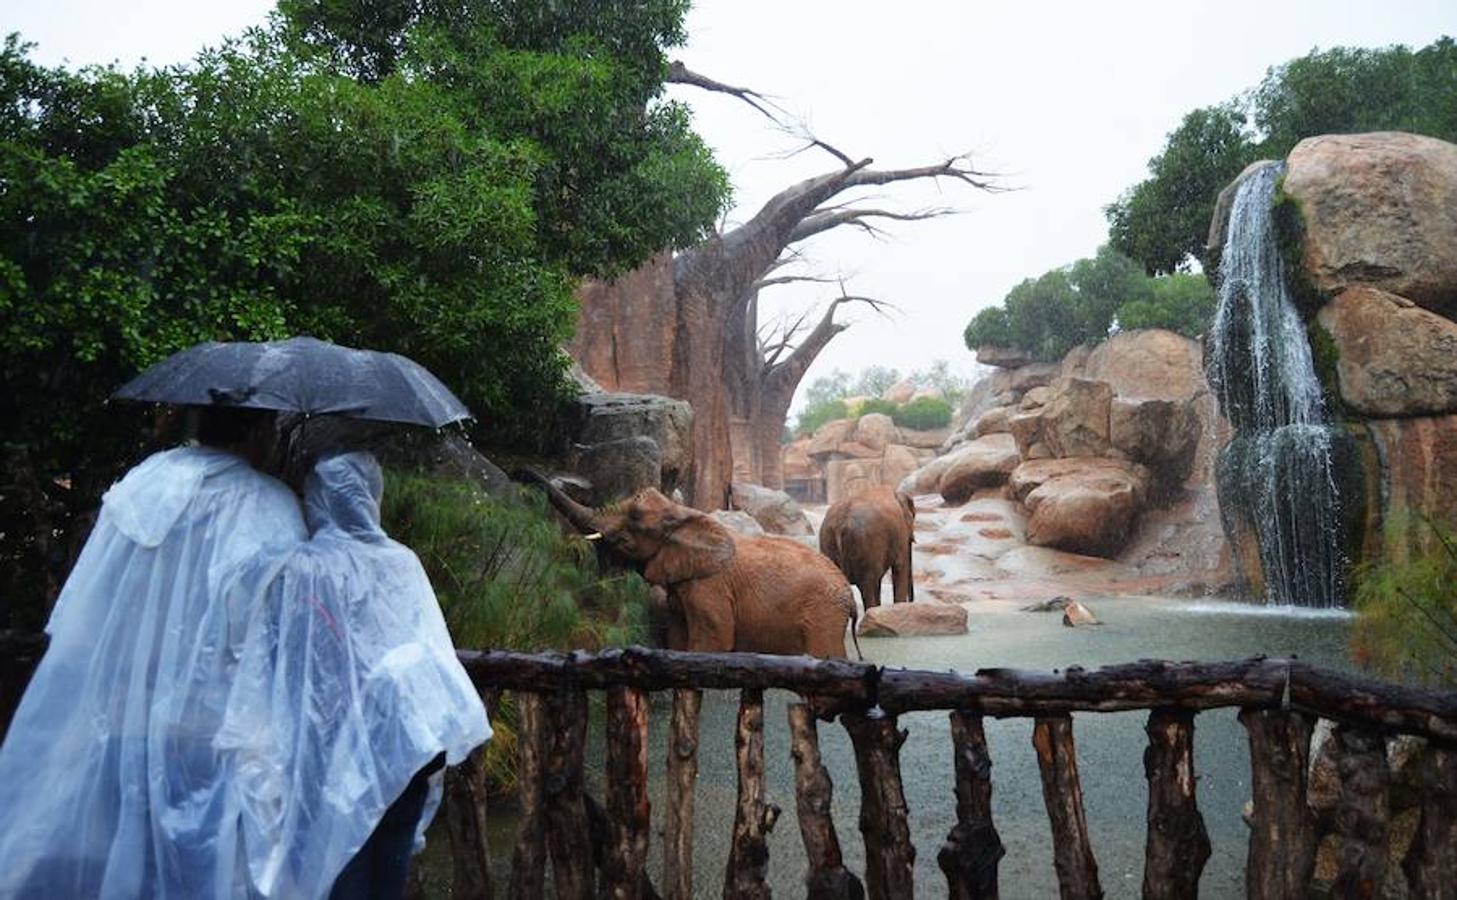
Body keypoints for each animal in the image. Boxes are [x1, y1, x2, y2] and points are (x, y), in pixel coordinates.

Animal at [524, 471, 856, 655]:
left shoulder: (710, 586)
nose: (519, 473)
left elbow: (714, 639)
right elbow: (677, 634)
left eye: (632, 525)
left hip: (823, 613)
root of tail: (850, 597)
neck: (683, 515)